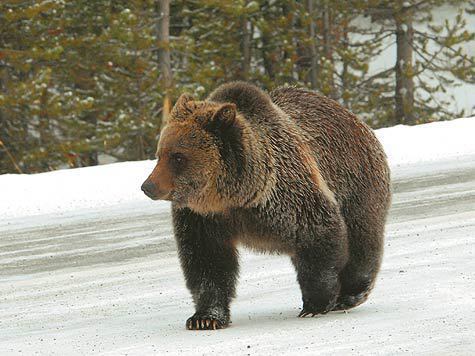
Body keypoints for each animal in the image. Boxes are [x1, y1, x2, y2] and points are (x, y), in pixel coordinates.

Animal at [140, 81, 390, 330]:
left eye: (178, 156)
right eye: (159, 154)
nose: (148, 186)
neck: (235, 196)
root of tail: (355, 119)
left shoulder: (289, 198)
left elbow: (318, 235)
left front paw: (315, 304)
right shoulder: (203, 218)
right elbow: (207, 261)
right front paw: (205, 317)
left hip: (356, 182)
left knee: (362, 238)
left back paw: (351, 293)